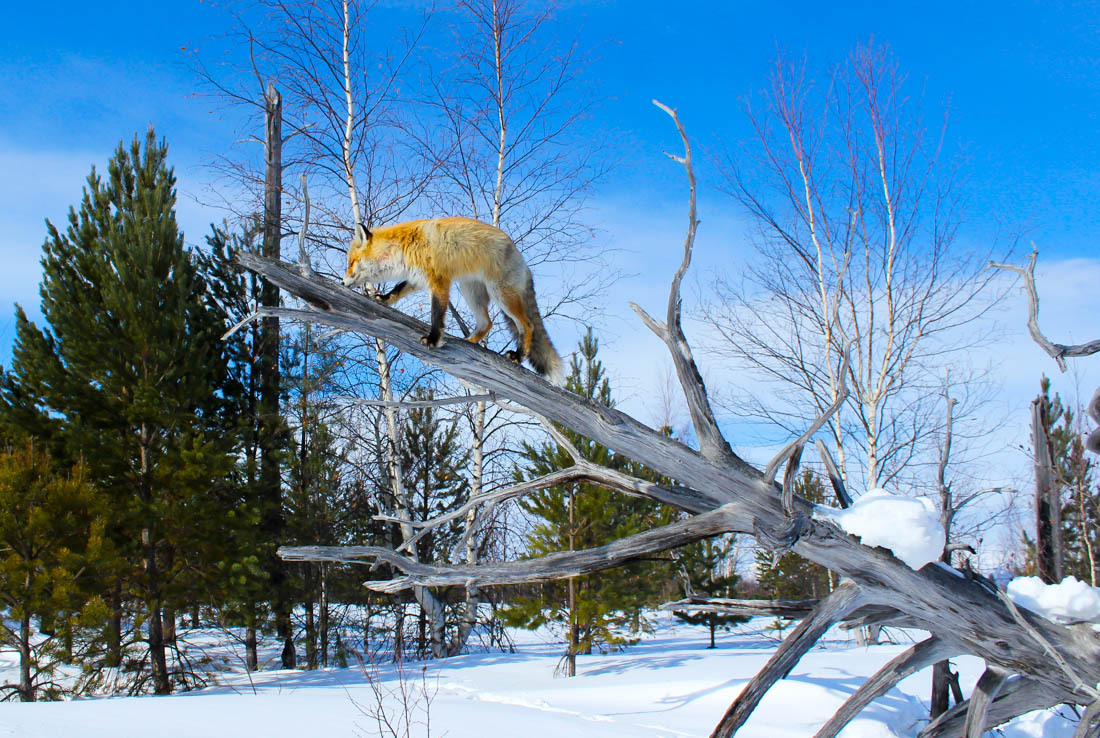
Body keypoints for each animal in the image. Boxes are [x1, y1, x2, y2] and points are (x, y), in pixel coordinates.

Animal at [341, 215, 567, 384]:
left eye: (351, 262)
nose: (342, 282)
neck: (403, 247)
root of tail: (523, 262)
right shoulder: (418, 278)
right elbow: (398, 290)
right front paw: (384, 298)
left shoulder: (439, 282)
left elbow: (436, 315)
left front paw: (433, 339)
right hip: (470, 291)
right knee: (487, 323)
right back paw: (468, 342)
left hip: (500, 294)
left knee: (527, 325)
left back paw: (519, 356)